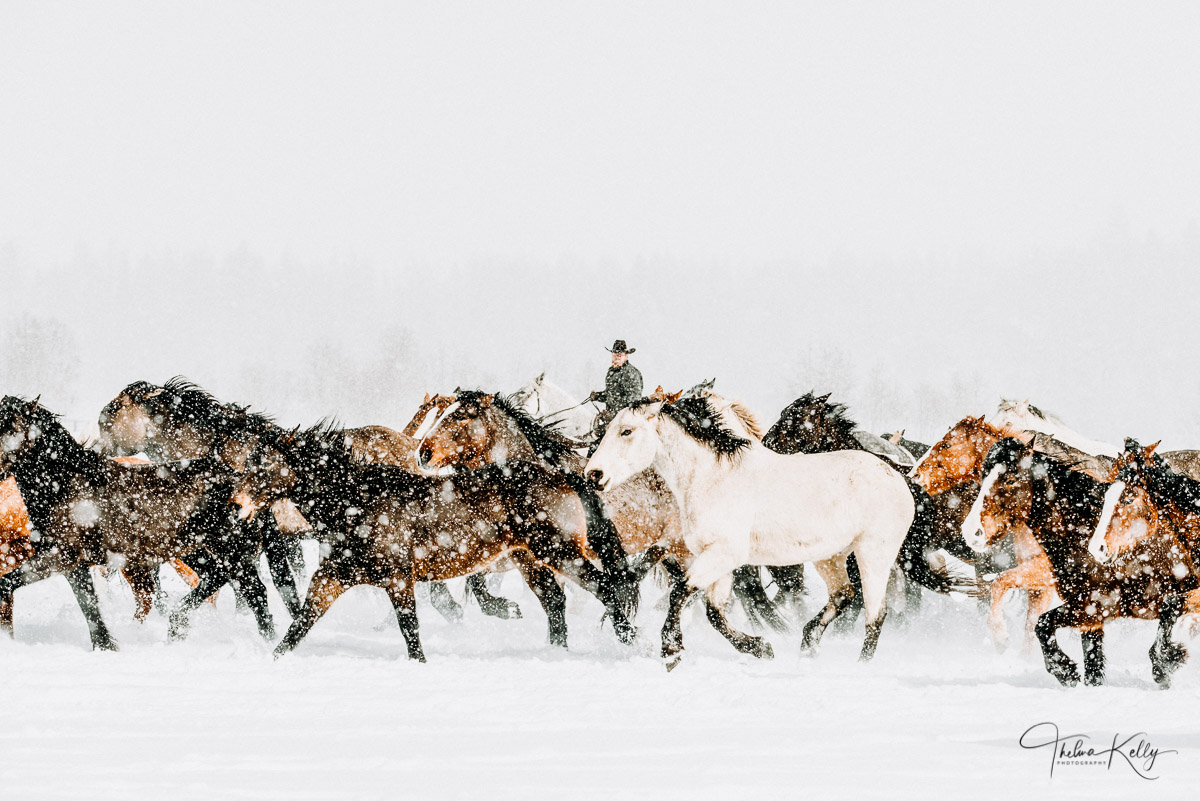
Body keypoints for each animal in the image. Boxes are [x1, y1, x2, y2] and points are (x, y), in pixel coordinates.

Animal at [235, 422, 648, 661]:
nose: (236, 505)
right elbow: (299, 626)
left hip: (559, 551)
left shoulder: (399, 579)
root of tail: (563, 476)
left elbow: (411, 632)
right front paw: (273, 659)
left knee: (606, 587)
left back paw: (633, 643)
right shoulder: (333, 576)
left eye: (265, 464)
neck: (359, 502)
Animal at [585, 393, 921, 661]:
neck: (712, 477)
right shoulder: (717, 558)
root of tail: (897, 477)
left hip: (873, 555)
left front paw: (671, 649)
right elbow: (714, 611)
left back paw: (859, 664)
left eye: (626, 431)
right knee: (843, 595)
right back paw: (808, 645)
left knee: (875, 614)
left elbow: (681, 592)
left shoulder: (724, 554)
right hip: (830, 556)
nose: (593, 474)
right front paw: (760, 648)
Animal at [969, 438, 1195, 690]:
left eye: (1009, 480)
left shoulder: (1102, 604)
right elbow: (1087, 661)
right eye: (982, 478)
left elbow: (1039, 622)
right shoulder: (1091, 613)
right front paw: (1067, 672)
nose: (971, 532)